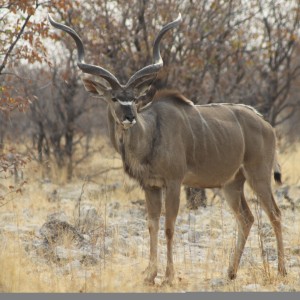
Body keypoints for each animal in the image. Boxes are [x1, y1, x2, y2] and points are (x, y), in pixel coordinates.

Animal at [48, 14, 286, 284]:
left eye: (135, 98)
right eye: (114, 98)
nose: (129, 117)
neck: (150, 134)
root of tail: (266, 124)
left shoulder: (173, 182)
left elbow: (169, 226)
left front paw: (169, 276)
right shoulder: (150, 186)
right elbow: (152, 224)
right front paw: (150, 274)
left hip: (259, 176)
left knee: (275, 214)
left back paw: (281, 270)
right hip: (232, 184)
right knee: (246, 218)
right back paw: (231, 271)